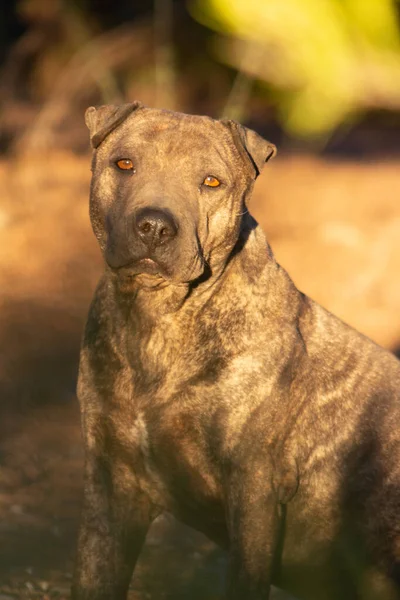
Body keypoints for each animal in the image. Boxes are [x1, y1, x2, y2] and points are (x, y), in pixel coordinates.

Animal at [72, 101, 400, 596]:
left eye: (212, 182)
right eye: (124, 164)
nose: (154, 226)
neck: (158, 320)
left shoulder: (253, 489)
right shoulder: (113, 481)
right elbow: (94, 578)